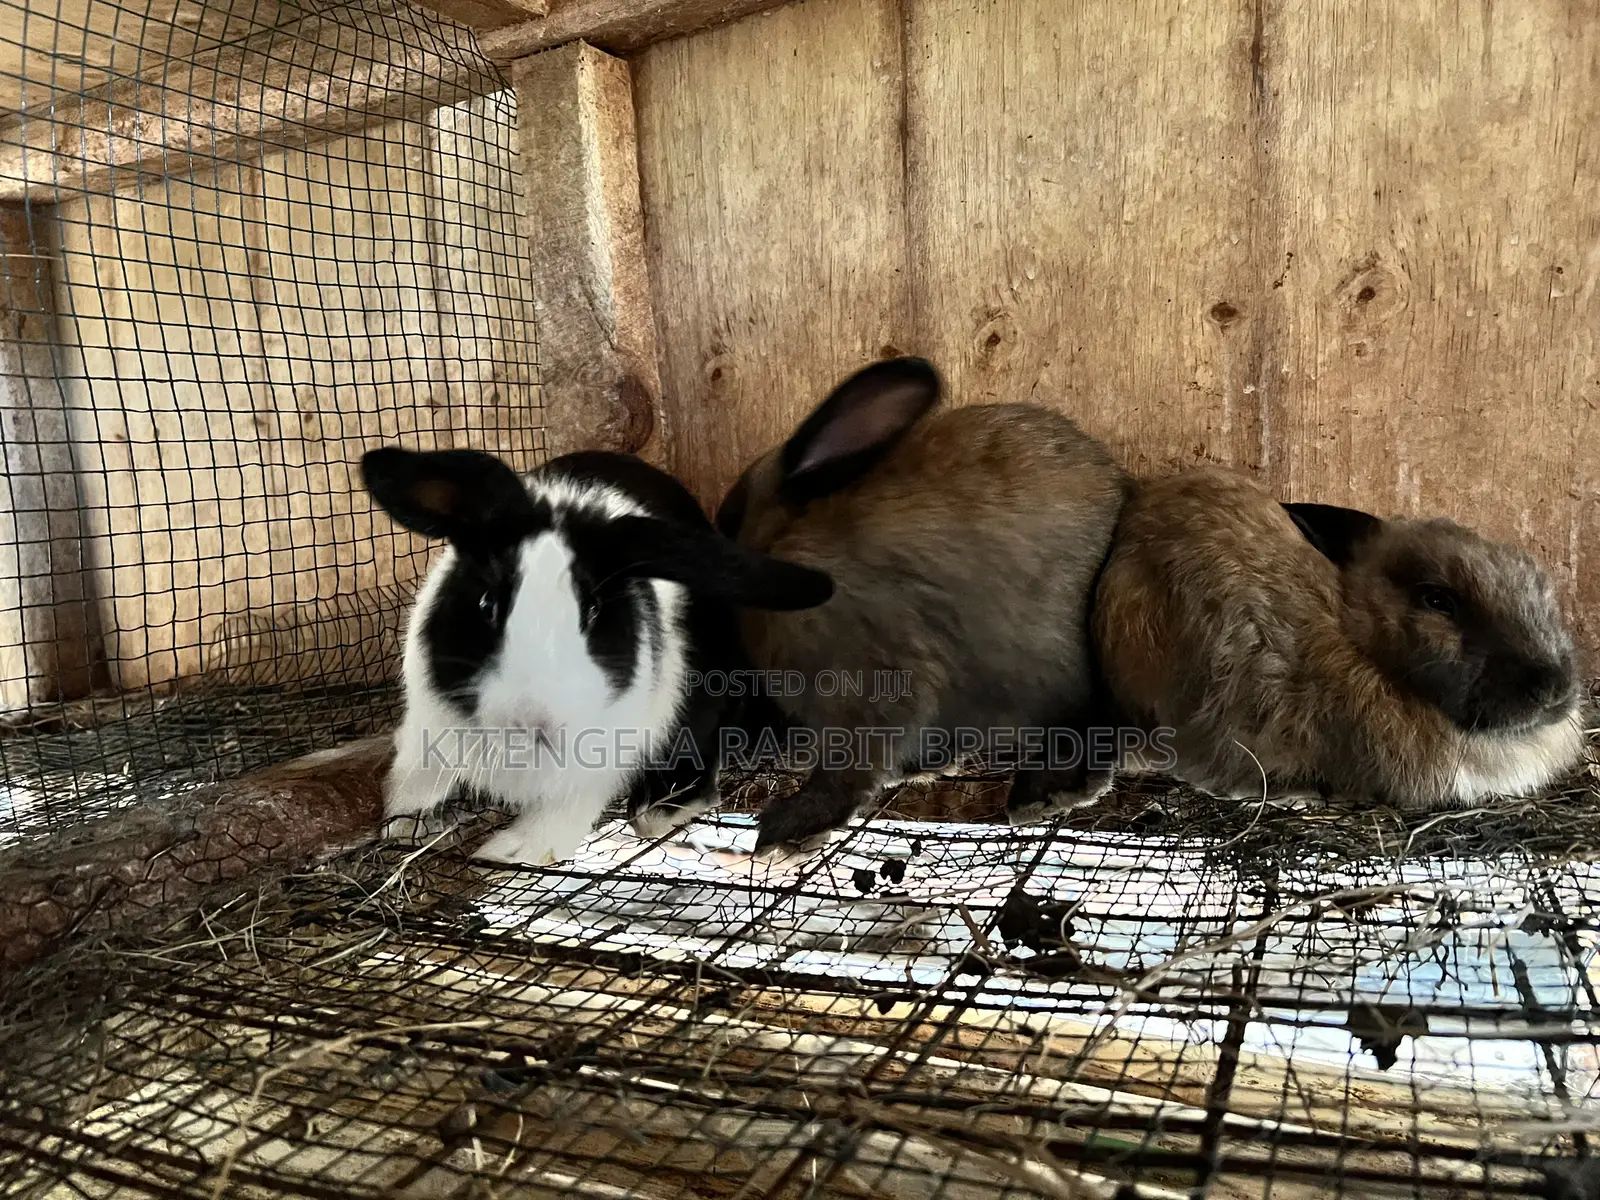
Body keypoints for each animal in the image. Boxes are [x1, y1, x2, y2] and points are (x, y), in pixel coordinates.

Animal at [360, 445, 835, 866]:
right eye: (486, 603)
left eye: (593, 610)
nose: (533, 722)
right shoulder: (428, 725)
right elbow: (416, 774)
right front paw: (404, 823)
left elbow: (565, 809)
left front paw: (510, 851)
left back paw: (658, 809)